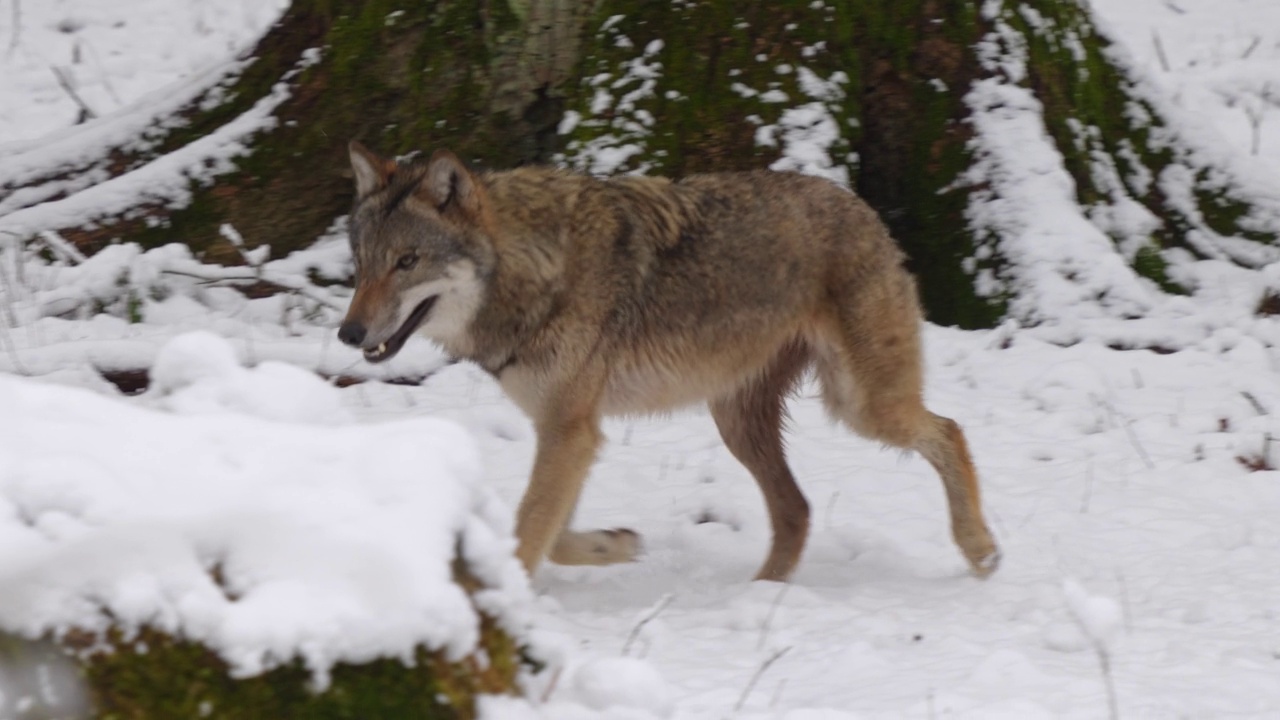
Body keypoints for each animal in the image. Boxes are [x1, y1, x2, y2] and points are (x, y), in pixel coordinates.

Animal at [337, 141, 998, 584]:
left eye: (408, 262)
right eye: (363, 263)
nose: (349, 332)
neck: (533, 269)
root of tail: (858, 203)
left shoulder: (570, 431)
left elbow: (531, 534)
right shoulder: (573, 432)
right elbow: (553, 536)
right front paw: (616, 546)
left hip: (859, 406)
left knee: (950, 430)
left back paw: (980, 549)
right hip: (739, 423)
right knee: (798, 508)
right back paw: (764, 592)